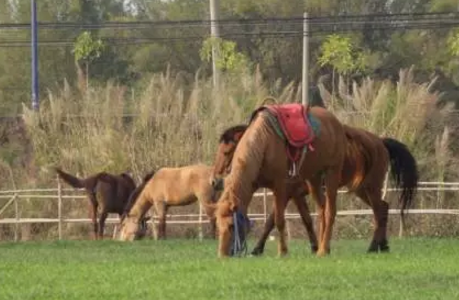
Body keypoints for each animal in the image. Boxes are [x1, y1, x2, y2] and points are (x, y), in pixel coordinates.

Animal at [210, 122, 418, 255]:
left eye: (226, 151)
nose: (215, 180)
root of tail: (380, 141)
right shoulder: (296, 195)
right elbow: (307, 219)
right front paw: (315, 245)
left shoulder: (286, 193)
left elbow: (271, 220)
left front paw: (257, 249)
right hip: (361, 189)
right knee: (383, 208)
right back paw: (382, 245)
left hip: (371, 187)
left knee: (379, 211)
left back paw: (375, 246)